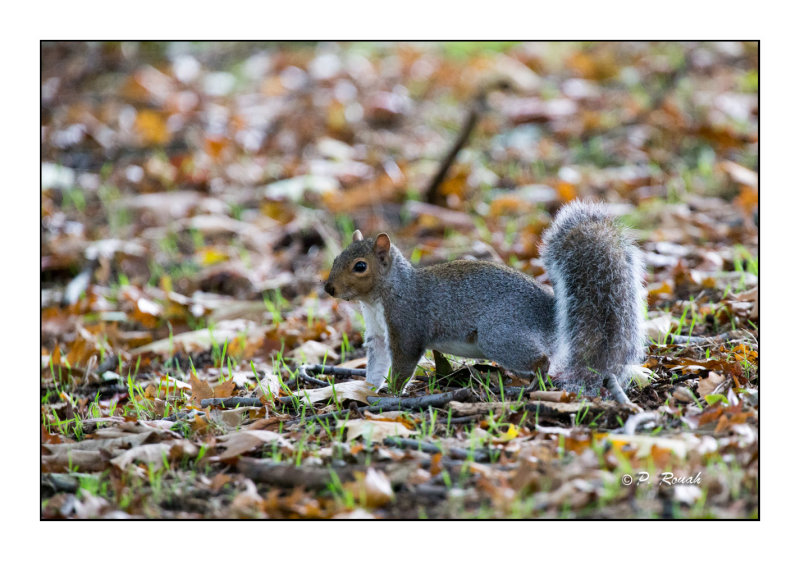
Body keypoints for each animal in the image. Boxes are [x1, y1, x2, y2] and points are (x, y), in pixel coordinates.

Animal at [322, 200, 648, 402]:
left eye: (360, 266)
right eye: (336, 258)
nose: (328, 288)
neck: (379, 298)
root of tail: (553, 313)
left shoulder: (407, 326)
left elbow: (403, 363)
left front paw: (392, 393)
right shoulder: (378, 335)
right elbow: (376, 363)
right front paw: (366, 390)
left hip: (500, 336)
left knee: (542, 361)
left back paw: (532, 386)